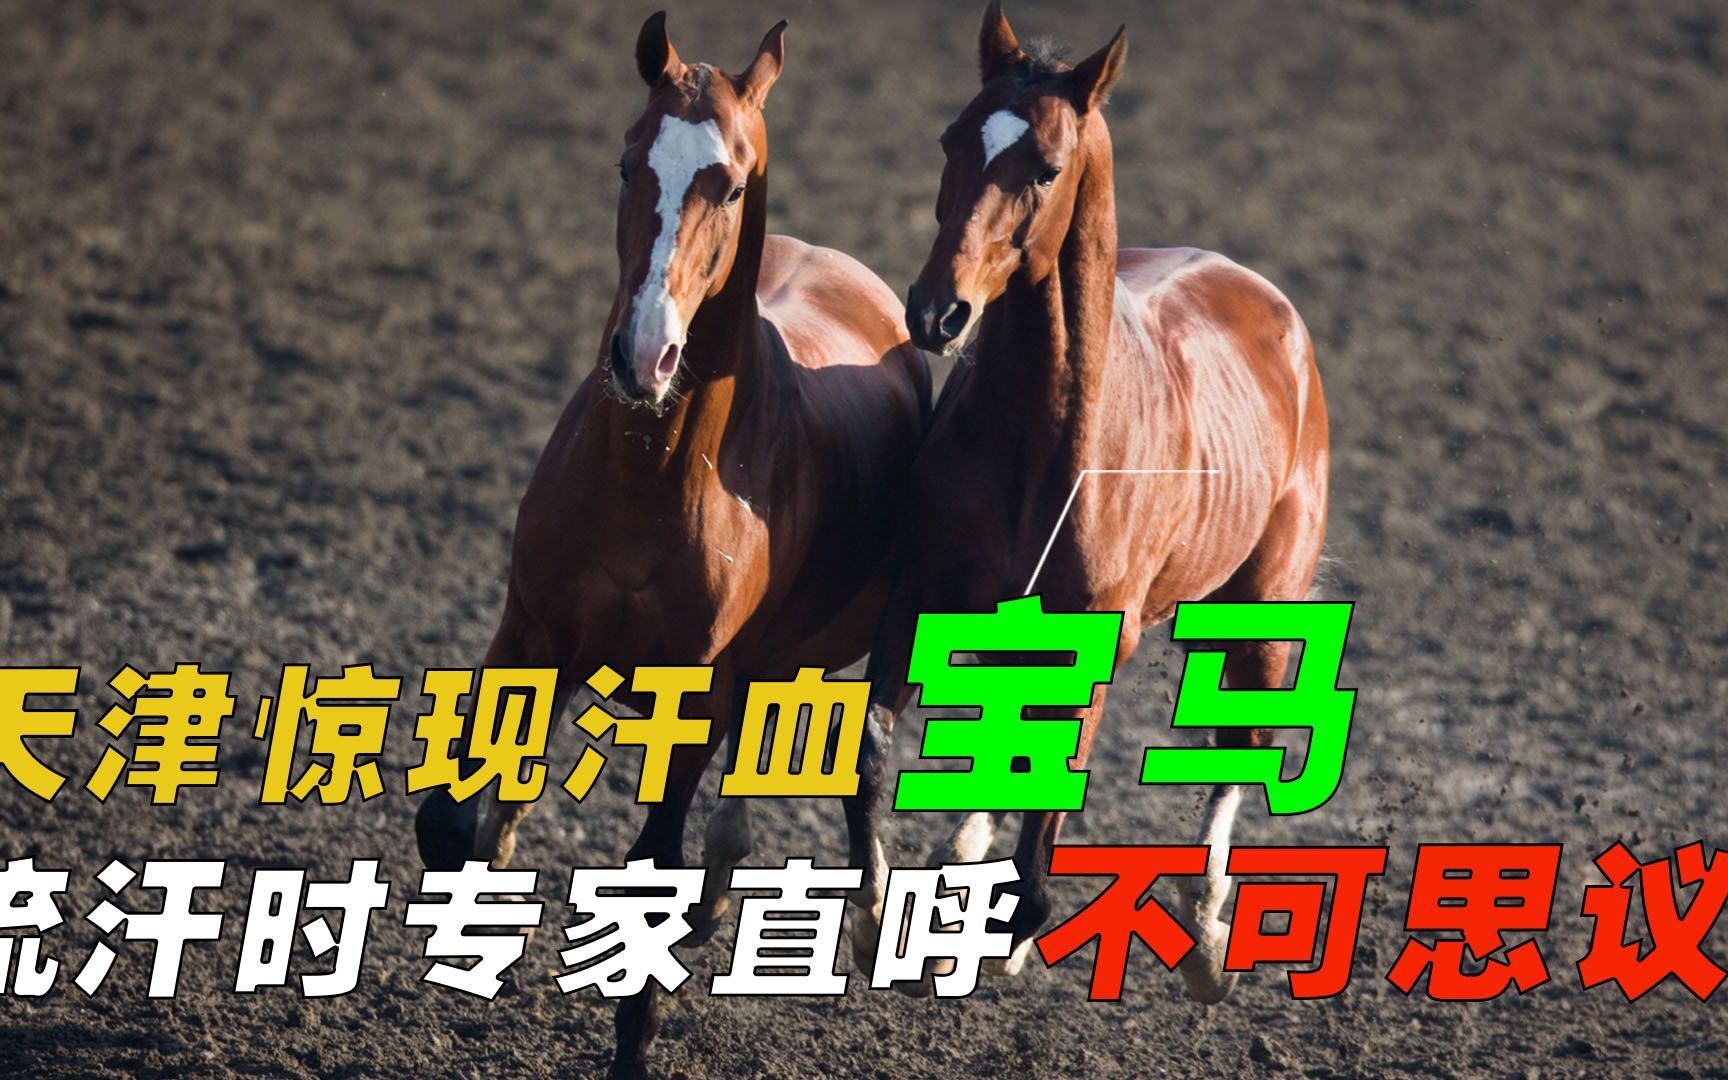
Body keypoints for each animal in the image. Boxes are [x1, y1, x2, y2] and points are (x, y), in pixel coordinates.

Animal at [413, 13, 930, 1075]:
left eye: (728, 185)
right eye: (625, 165)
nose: (641, 357)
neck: (649, 470)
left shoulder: (693, 687)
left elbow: (654, 863)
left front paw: (634, 1037)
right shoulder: (528, 630)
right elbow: (450, 815)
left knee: (863, 754)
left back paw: (865, 916)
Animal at [847, 1, 1330, 1005]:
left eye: (1045, 167)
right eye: (952, 139)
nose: (936, 313)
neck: (1044, 440)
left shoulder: (1098, 638)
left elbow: (1041, 850)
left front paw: (993, 930)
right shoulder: (922, 602)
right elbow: (873, 752)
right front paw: (886, 919)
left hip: (1266, 602)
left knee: (1240, 740)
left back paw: (1207, 936)